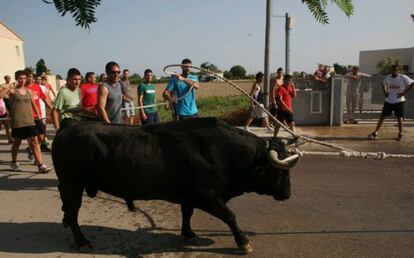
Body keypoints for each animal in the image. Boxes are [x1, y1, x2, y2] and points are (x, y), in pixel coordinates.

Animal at [51, 117, 300, 254]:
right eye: (280, 171)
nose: (288, 194)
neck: (220, 151)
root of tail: (69, 126)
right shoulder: (209, 197)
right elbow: (230, 216)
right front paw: (243, 242)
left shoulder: (189, 196)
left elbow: (187, 214)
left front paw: (189, 235)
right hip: (73, 184)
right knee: (73, 211)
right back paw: (82, 241)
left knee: (68, 210)